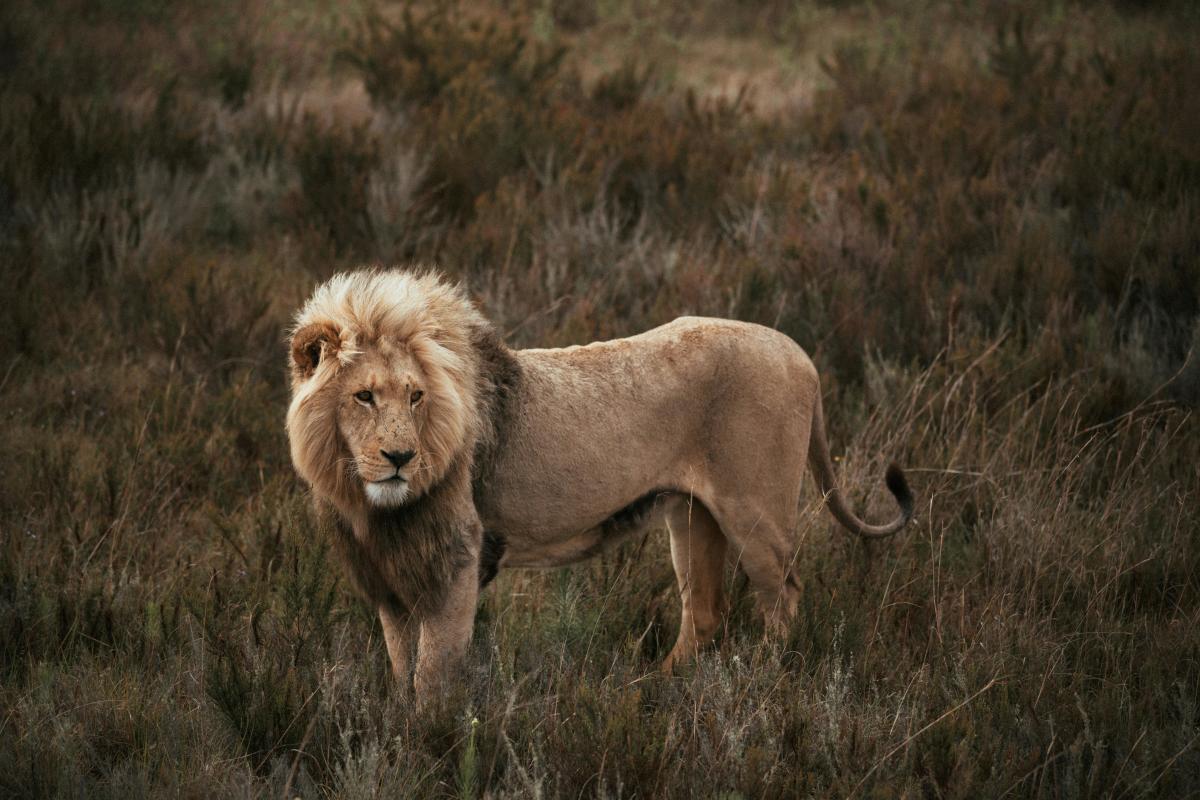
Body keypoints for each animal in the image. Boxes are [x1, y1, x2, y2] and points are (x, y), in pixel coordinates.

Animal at [286, 268, 914, 702]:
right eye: (364, 396)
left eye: (416, 396)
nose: (399, 458)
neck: (376, 506)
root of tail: (800, 354)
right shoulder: (390, 575)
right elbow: (401, 669)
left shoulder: (457, 562)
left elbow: (434, 675)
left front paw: (429, 741)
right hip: (692, 516)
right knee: (705, 611)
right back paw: (651, 690)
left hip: (755, 513)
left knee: (782, 596)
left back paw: (763, 681)